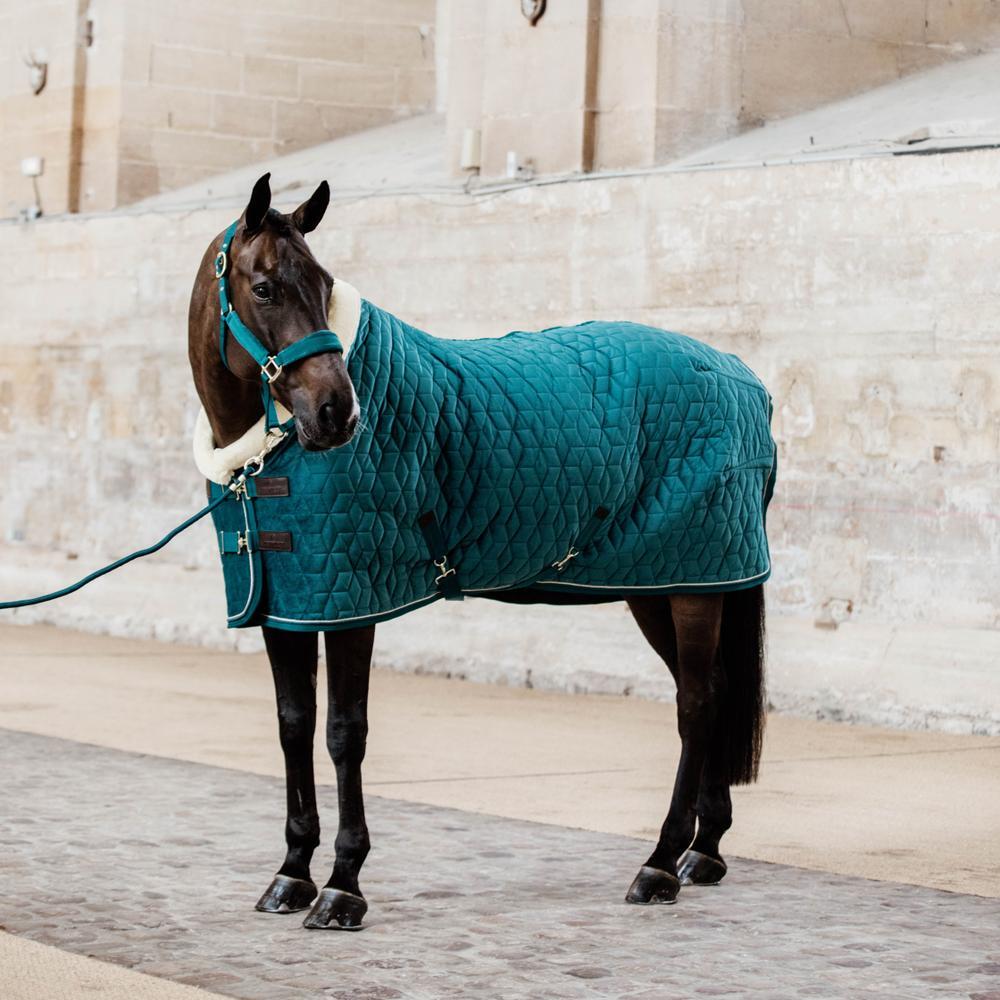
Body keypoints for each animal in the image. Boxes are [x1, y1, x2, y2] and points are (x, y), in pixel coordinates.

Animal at [188, 174, 770, 930]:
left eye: (324, 283)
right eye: (264, 288)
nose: (339, 413)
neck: (259, 460)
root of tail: (742, 376)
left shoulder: (350, 603)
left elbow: (345, 733)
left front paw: (343, 885)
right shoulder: (286, 604)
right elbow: (294, 727)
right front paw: (291, 874)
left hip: (695, 582)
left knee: (696, 704)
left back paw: (660, 864)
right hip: (664, 583)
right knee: (713, 693)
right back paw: (705, 851)